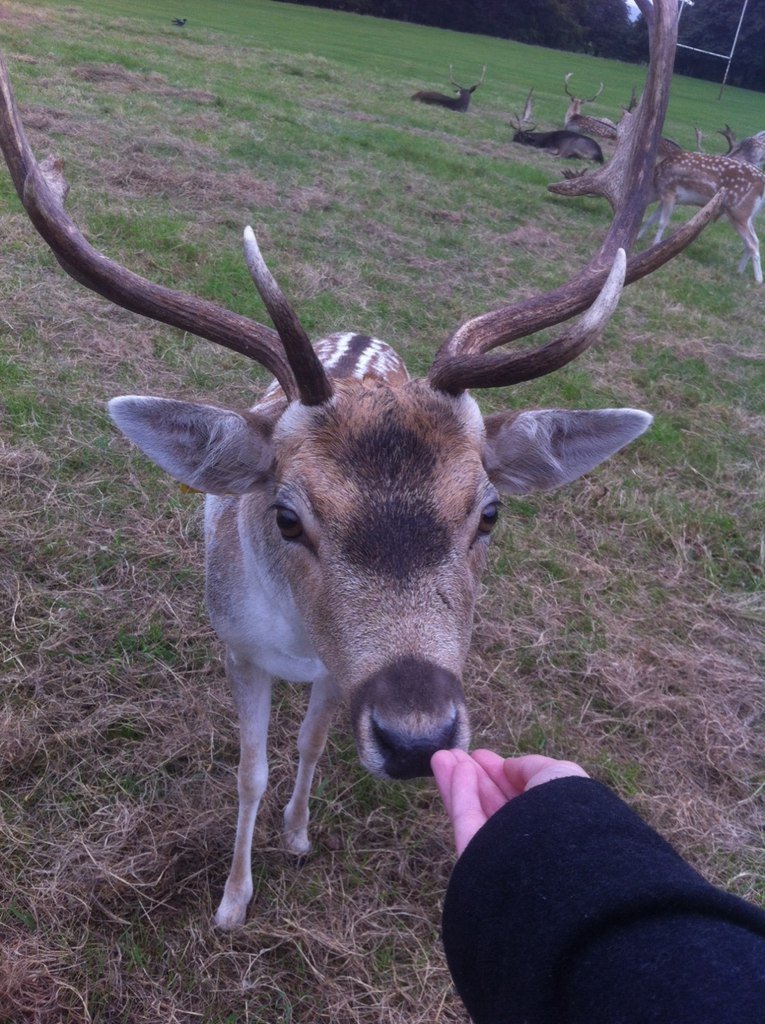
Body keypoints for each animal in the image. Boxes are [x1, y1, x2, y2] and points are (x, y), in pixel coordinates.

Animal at [0, 0, 721, 930]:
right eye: (286, 515)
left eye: (488, 512)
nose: (417, 737)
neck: (294, 639)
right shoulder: (240, 647)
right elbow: (249, 769)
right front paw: (232, 900)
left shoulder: (328, 671)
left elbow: (309, 742)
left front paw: (299, 835)